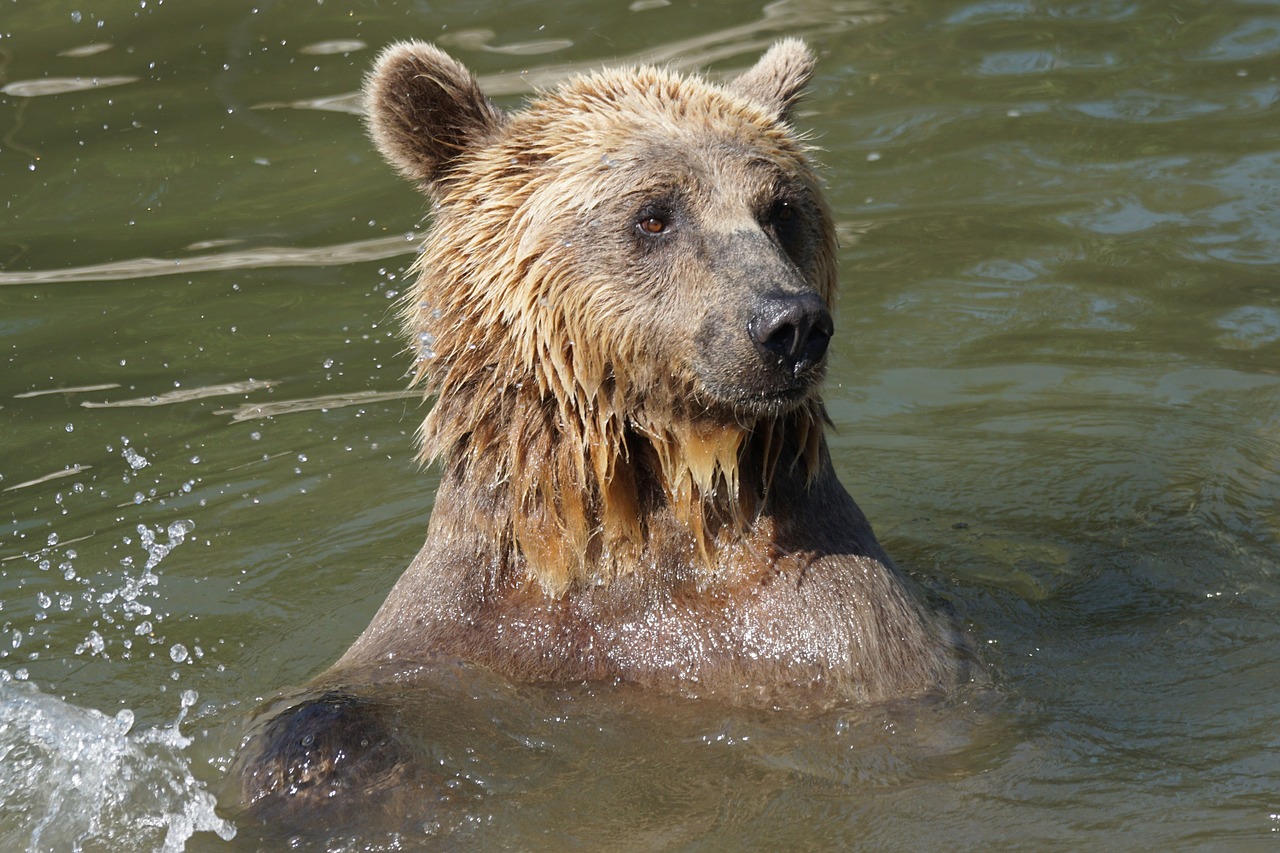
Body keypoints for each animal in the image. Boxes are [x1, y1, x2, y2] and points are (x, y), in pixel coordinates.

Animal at [232, 36, 967, 819]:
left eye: (781, 209)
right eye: (654, 214)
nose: (790, 323)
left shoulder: (835, 634)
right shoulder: (472, 620)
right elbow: (342, 700)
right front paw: (319, 768)